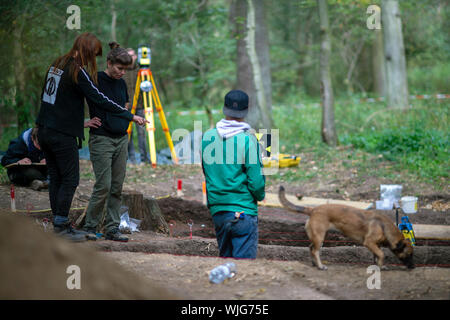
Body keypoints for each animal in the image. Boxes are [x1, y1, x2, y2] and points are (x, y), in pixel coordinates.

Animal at [278, 186, 414, 272]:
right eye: (409, 254)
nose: (413, 267)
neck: (384, 226)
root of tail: (313, 210)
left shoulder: (376, 245)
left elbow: (377, 256)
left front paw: (380, 266)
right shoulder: (369, 242)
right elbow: (381, 254)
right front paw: (380, 267)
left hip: (317, 237)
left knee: (311, 248)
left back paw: (314, 264)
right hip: (320, 236)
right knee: (315, 251)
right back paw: (320, 266)